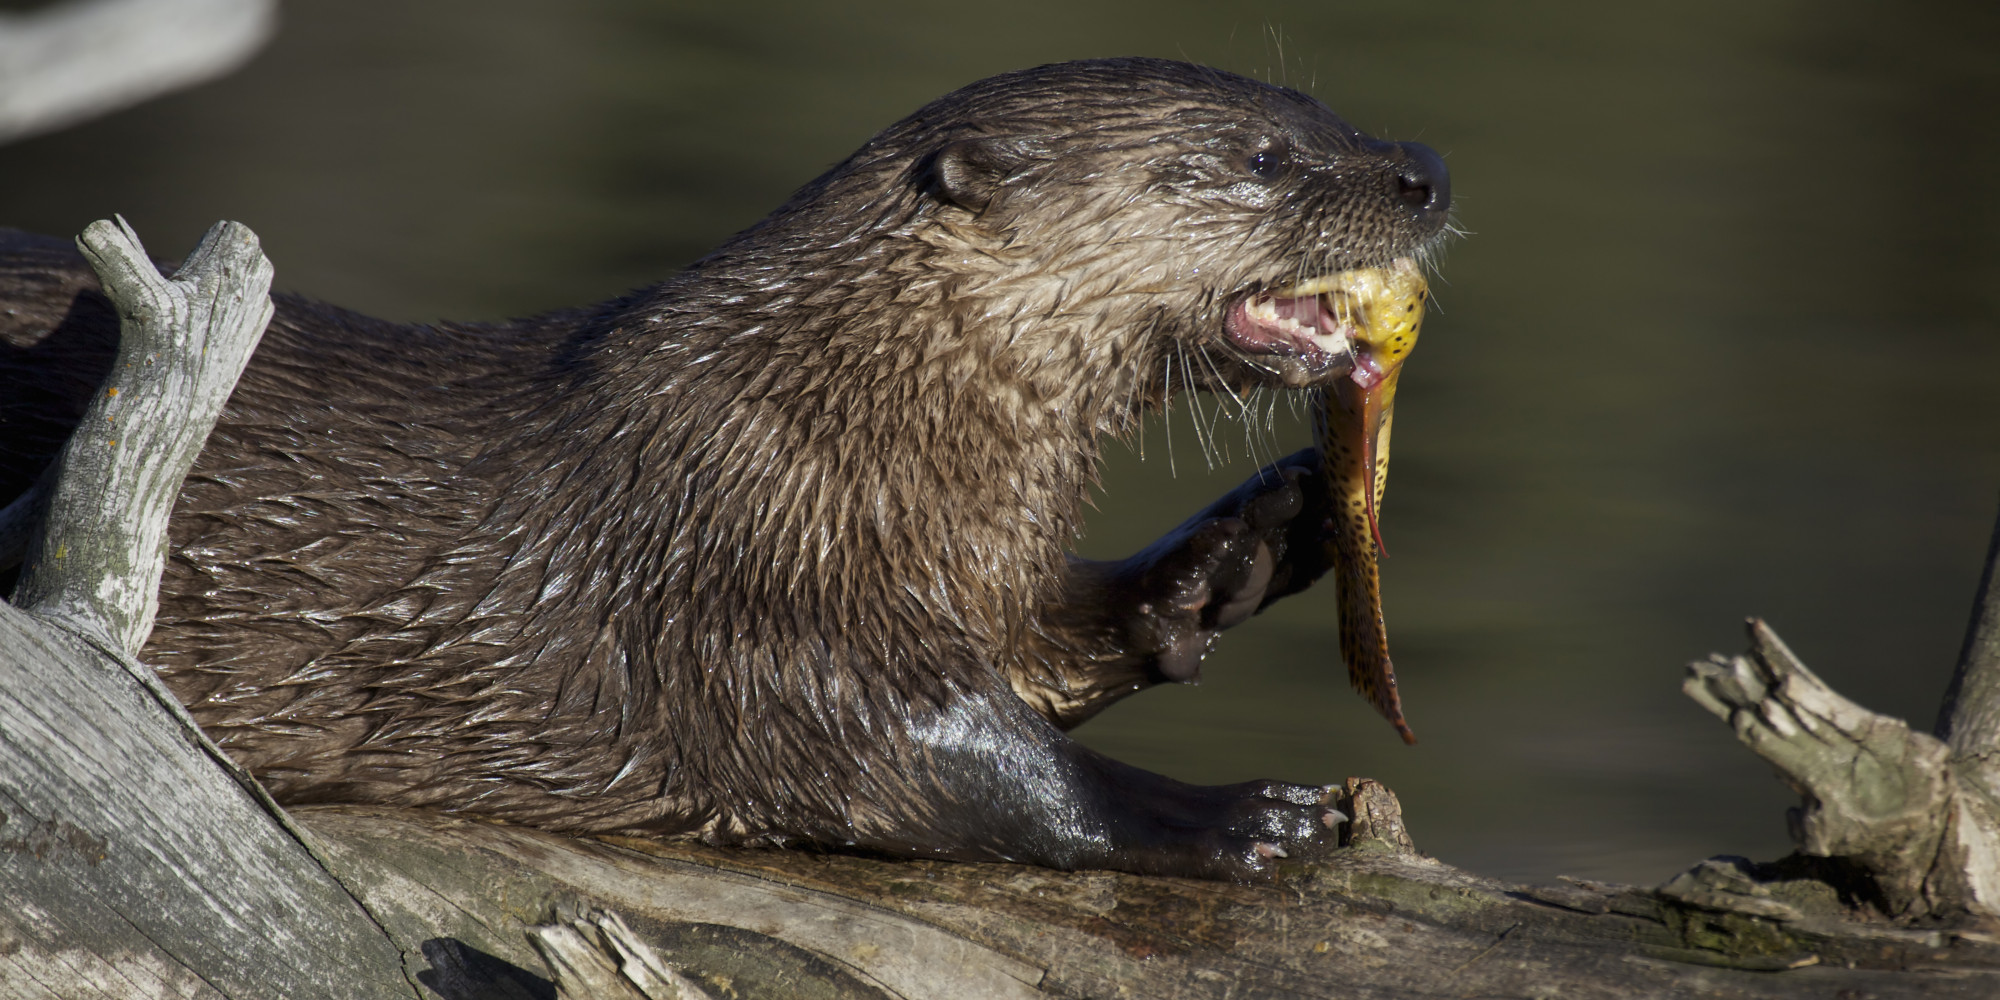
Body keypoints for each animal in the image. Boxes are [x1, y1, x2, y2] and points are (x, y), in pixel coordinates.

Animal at [0, 58, 1448, 880]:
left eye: (1326, 108)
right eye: (1263, 157)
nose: (1424, 169)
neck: (841, 421)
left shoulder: (962, 572)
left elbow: (1055, 638)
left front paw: (1256, 536)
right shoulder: (741, 585)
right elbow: (942, 760)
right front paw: (1231, 818)